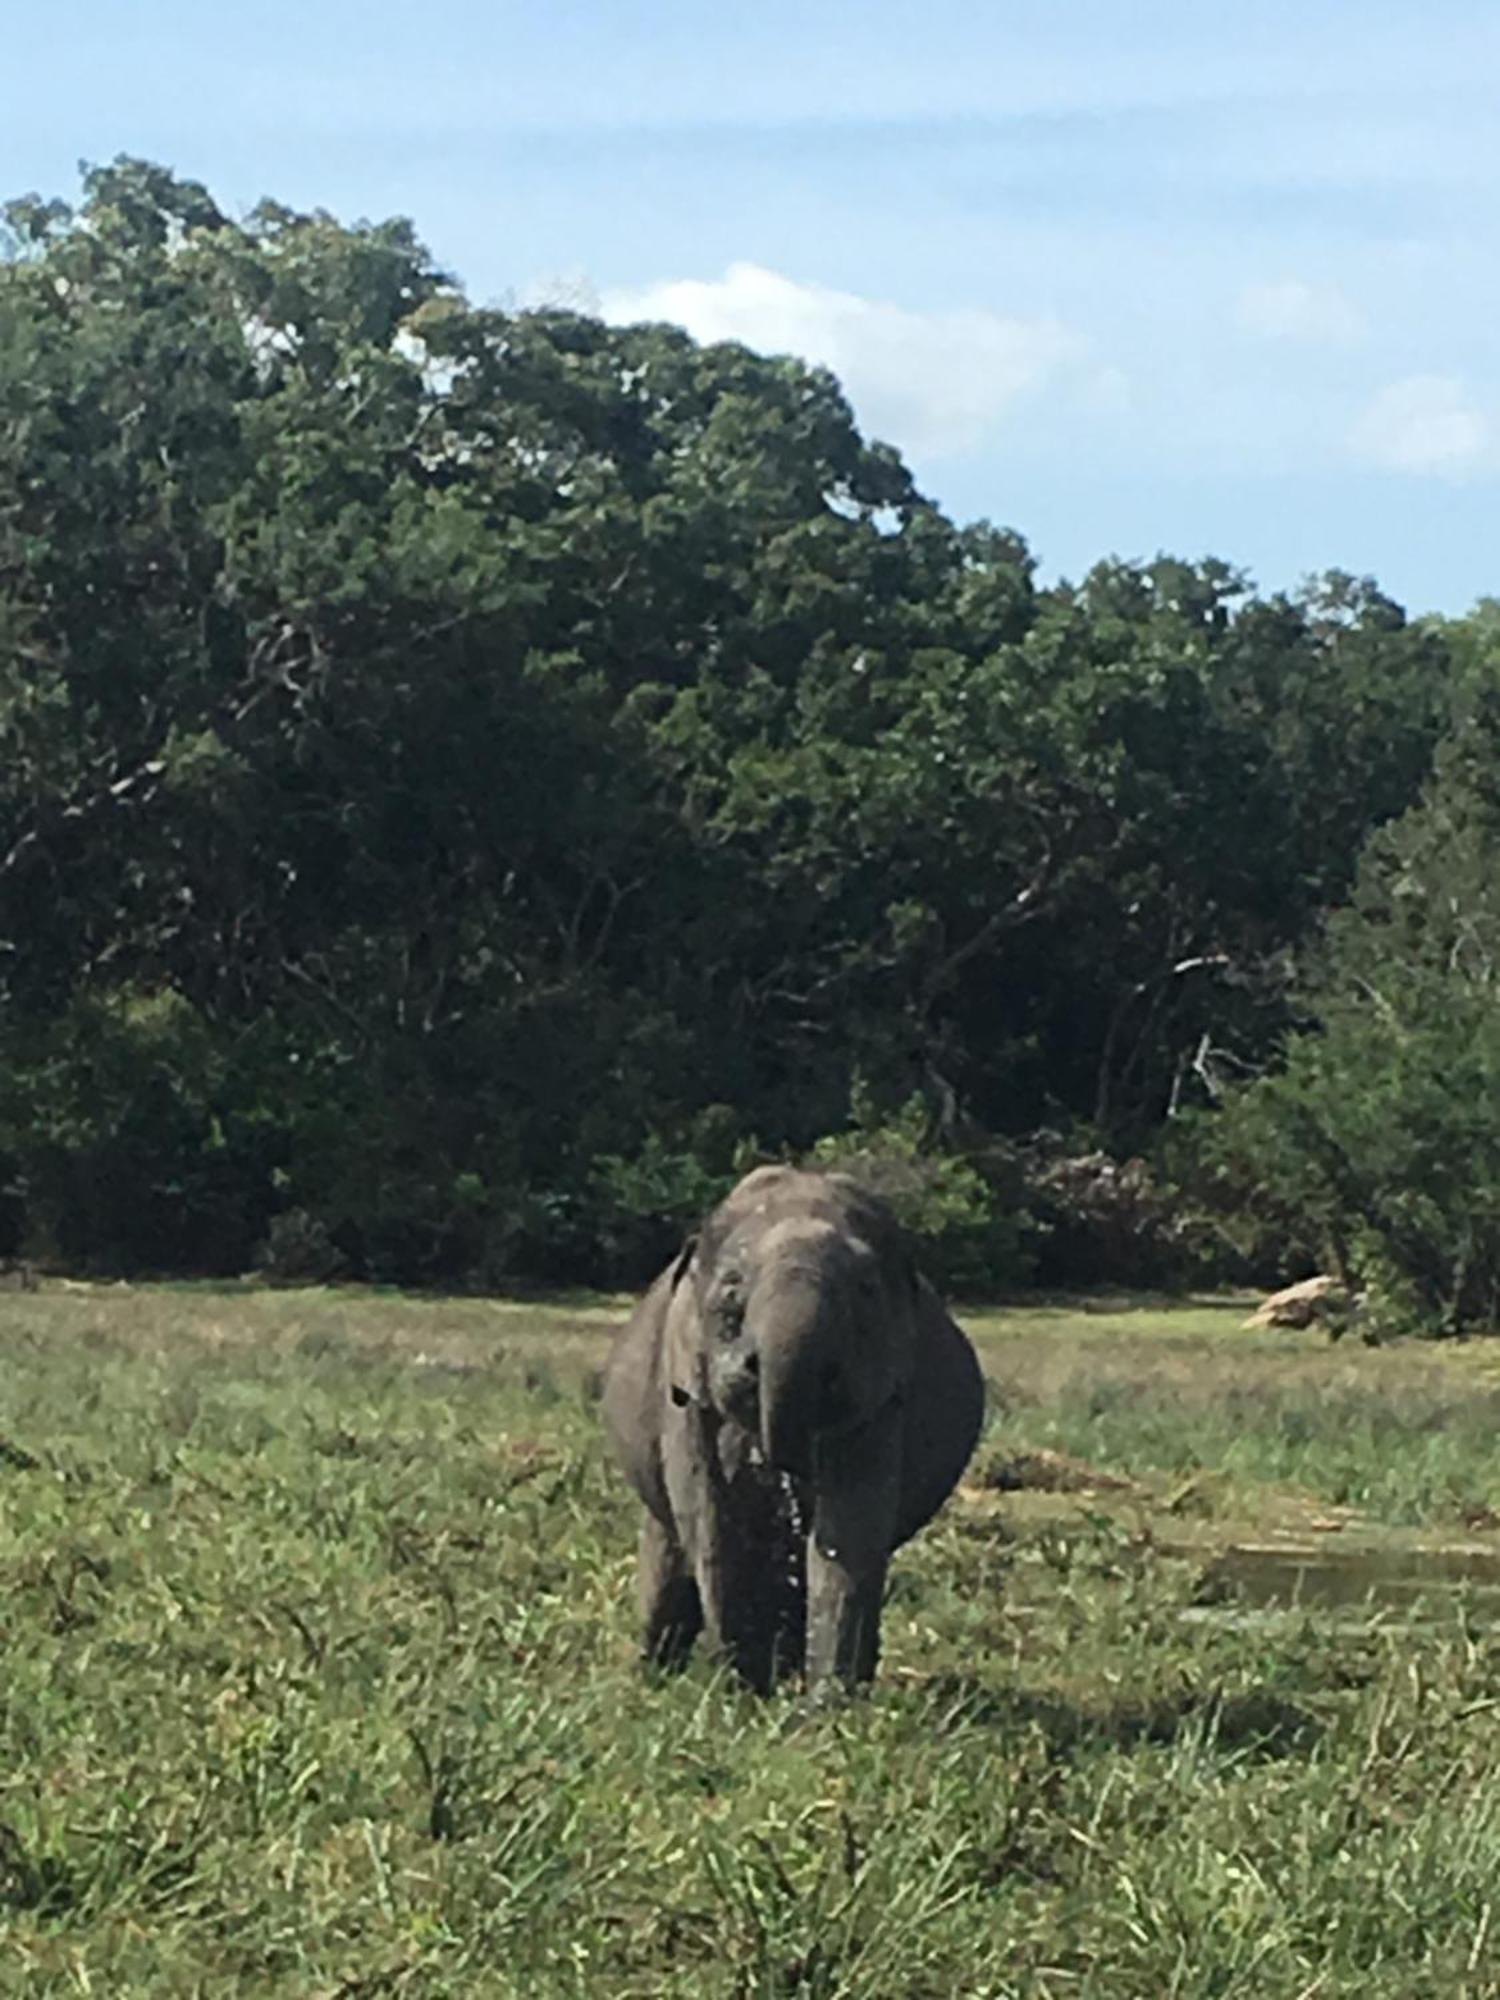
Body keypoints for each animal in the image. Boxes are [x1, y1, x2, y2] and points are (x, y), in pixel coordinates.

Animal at [600, 1168, 988, 1696]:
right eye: (731, 1288)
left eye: (866, 1289)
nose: (786, 1472)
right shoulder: (684, 1391)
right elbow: (711, 1520)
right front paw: (744, 1691)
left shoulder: (883, 1397)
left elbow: (850, 1532)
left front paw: (827, 1703)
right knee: (668, 1548)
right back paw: (656, 1674)